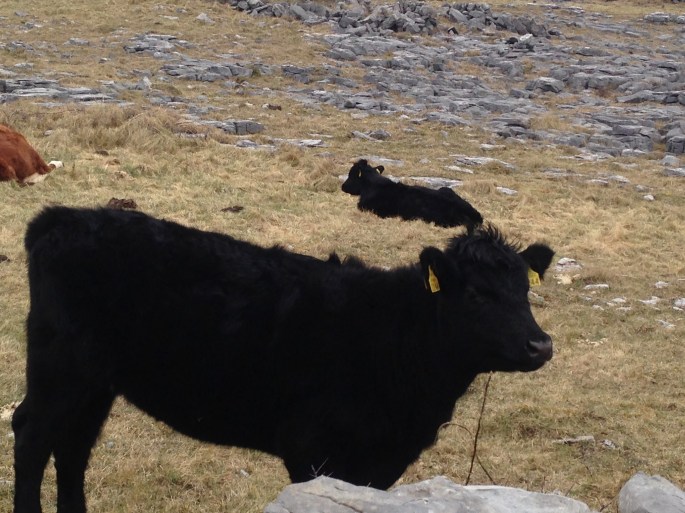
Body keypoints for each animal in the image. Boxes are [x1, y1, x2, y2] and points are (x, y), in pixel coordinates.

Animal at [13, 206, 554, 513]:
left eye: (526, 290)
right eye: (477, 296)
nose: (541, 345)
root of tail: (60, 217)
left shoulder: (381, 462)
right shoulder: (312, 447)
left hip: (95, 382)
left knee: (73, 446)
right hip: (61, 366)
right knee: (33, 433)